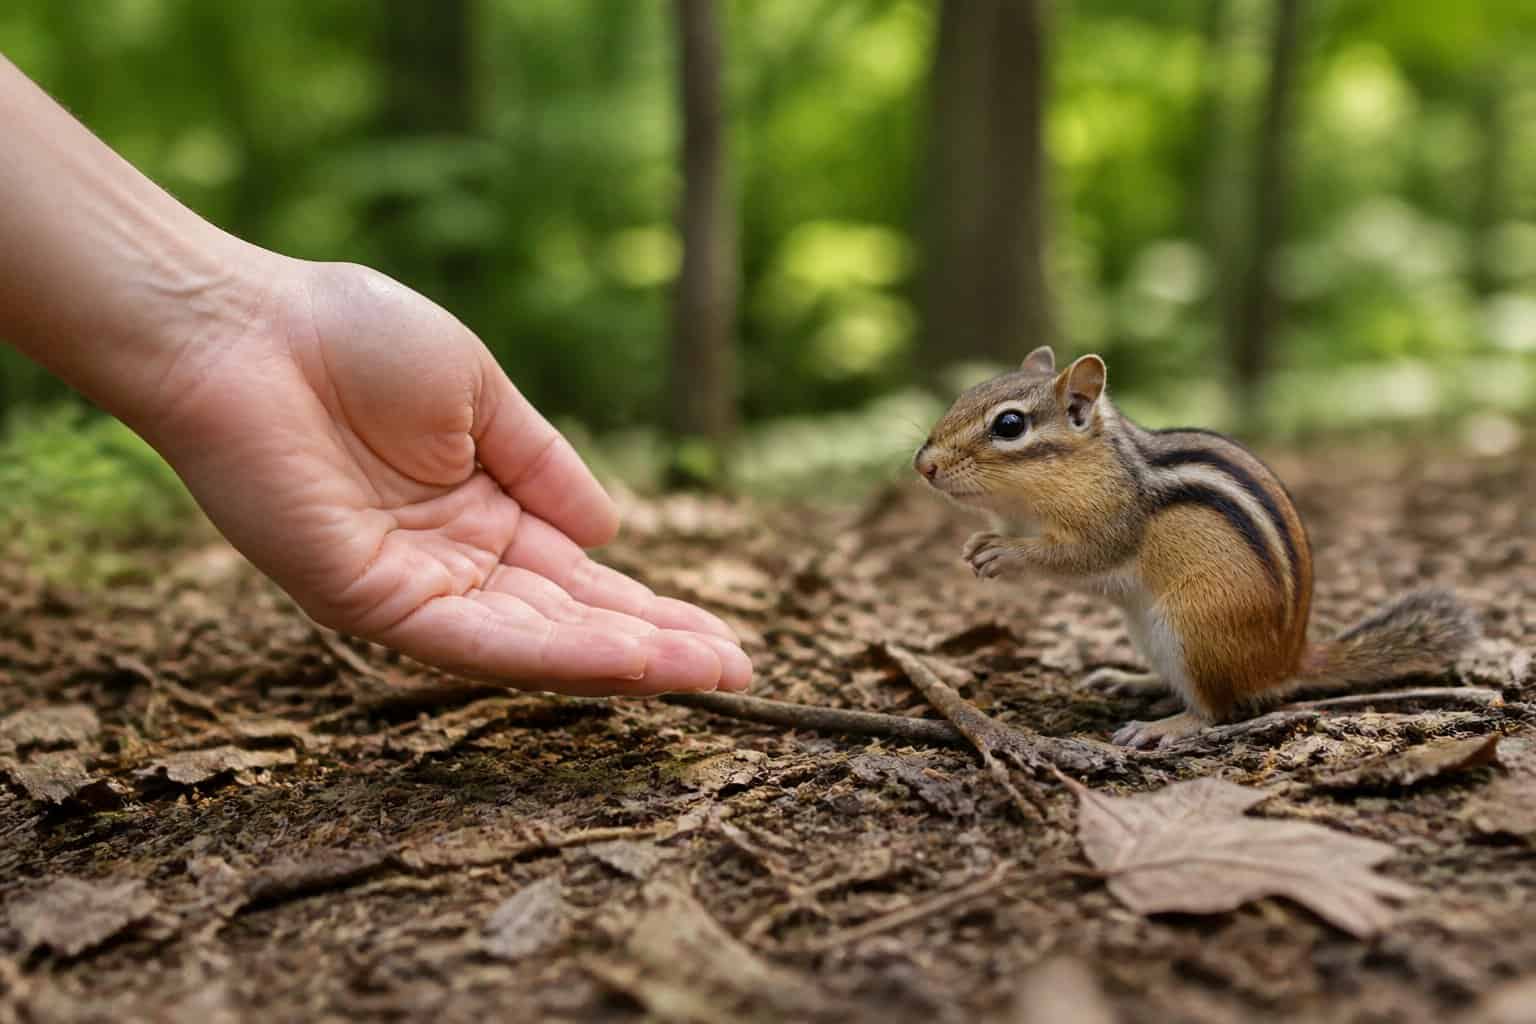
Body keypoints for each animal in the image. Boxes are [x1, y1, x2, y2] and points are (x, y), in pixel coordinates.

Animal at [913, 345, 1476, 749]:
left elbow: (1078, 556)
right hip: (1148, 631)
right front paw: (976, 543)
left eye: (1009, 425)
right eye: (967, 394)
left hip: (1193, 627)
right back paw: (1132, 680)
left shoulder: (1111, 523)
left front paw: (1007, 553)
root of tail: (1286, 661)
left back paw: (1165, 726)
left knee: (1217, 708)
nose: (925, 466)